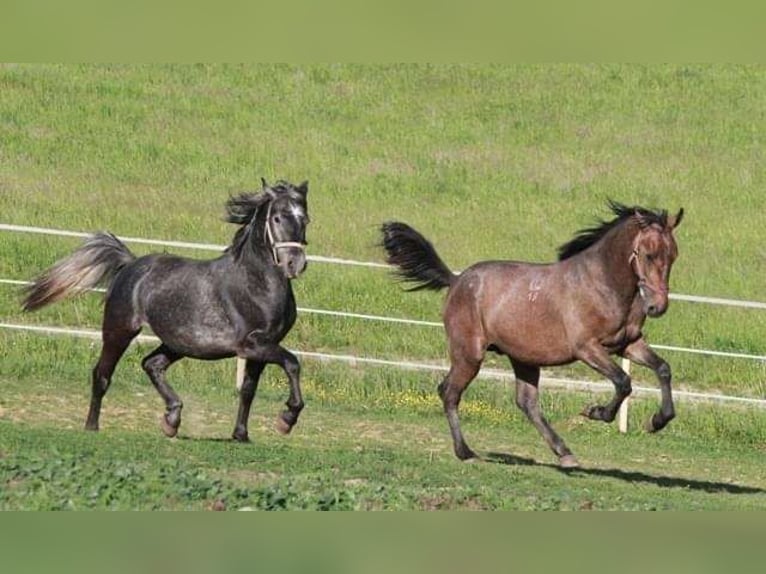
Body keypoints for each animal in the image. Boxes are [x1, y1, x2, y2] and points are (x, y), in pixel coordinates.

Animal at [24, 179, 312, 440]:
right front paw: (286, 419)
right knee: (102, 374)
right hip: (119, 330)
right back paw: (92, 427)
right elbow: (292, 363)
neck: (255, 284)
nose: (295, 263)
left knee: (151, 364)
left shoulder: (263, 348)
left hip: (178, 343)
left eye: (305, 219)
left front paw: (241, 435)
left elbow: (248, 390)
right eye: (277, 218)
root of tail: (131, 264)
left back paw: (171, 420)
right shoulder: (253, 344)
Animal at [380, 202, 688, 468]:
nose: (657, 306)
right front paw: (595, 412)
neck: (601, 283)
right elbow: (624, 382)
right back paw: (465, 452)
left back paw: (565, 453)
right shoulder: (587, 348)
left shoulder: (627, 345)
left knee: (526, 402)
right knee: (449, 392)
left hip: (523, 358)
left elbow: (663, 369)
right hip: (469, 354)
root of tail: (456, 280)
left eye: (673, 256)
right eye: (648, 254)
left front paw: (657, 421)